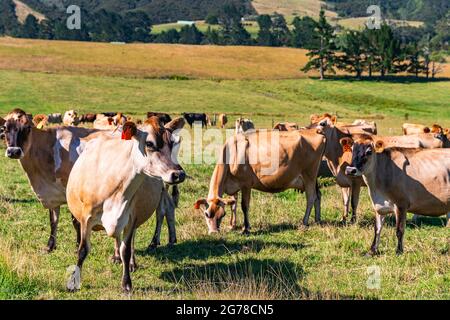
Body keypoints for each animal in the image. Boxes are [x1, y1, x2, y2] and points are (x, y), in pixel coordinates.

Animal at [65, 118, 185, 292]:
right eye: (149, 143)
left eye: (171, 144)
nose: (179, 174)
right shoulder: (86, 217)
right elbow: (83, 250)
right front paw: (74, 281)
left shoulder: (131, 218)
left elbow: (126, 250)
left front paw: (126, 283)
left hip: (161, 189)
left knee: (162, 211)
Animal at [195, 128, 326, 235]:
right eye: (206, 214)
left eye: (222, 215)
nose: (213, 232)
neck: (232, 154)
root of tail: (314, 131)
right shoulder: (233, 186)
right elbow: (233, 205)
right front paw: (232, 225)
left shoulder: (246, 184)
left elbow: (244, 206)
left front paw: (246, 228)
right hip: (313, 178)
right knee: (318, 195)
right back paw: (317, 219)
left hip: (309, 175)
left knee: (311, 197)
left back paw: (304, 222)